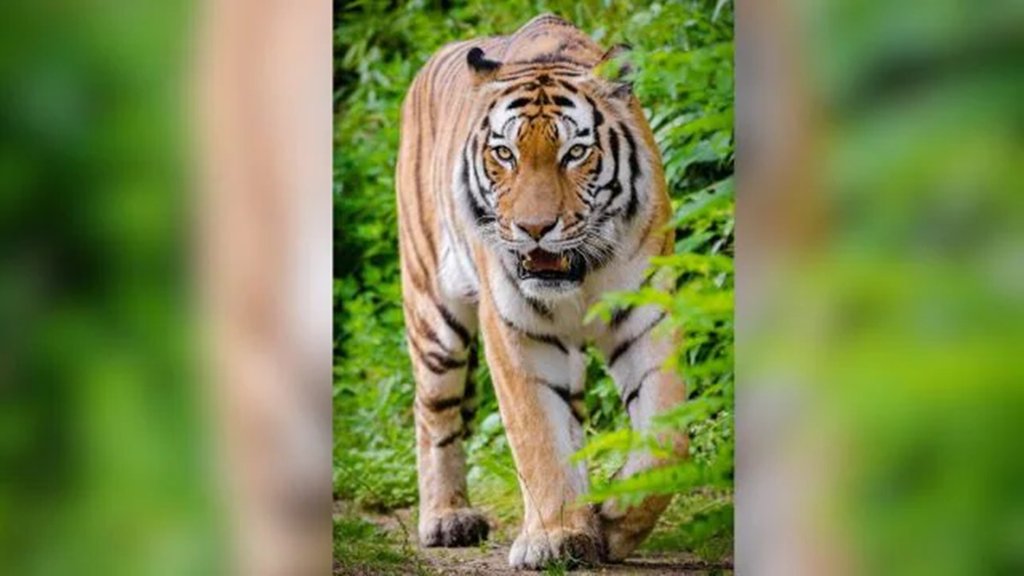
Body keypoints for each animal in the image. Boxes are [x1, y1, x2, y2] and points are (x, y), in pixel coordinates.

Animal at [395, 13, 687, 569]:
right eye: (504, 154)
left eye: (575, 153)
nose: (533, 228)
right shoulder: (517, 330)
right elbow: (538, 437)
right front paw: (555, 537)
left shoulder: (646, 316)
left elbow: (666, 436)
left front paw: (612, 523)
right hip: (433, 314)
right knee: (434, 412)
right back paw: (447, 518)